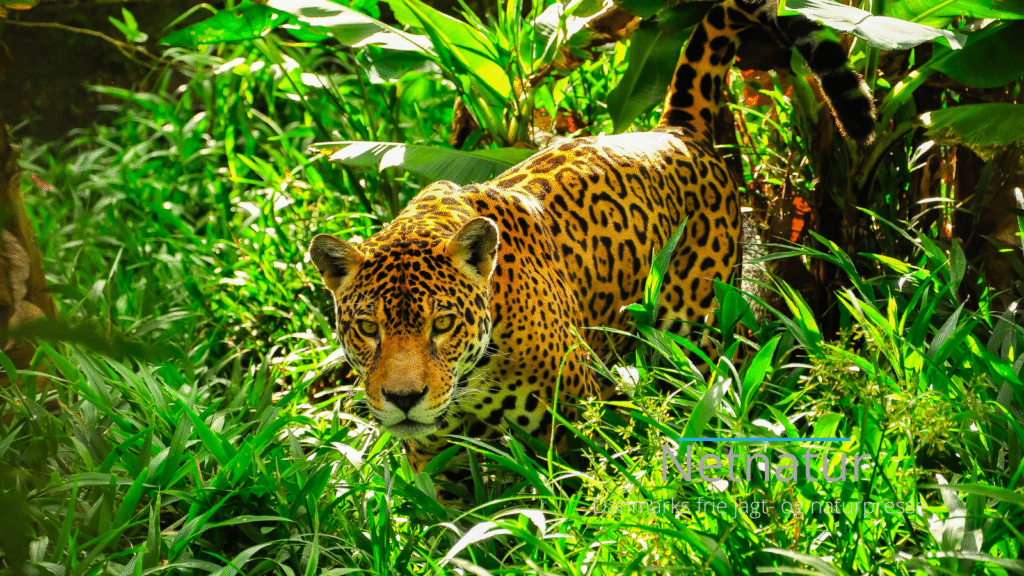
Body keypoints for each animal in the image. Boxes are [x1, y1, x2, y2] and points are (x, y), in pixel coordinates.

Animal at [308, 0, 874, 485]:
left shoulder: (576, 433)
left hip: (697, 331)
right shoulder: (435, 462)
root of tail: (675, 129)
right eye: (367, 328)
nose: (403, 398)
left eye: (442, 325)